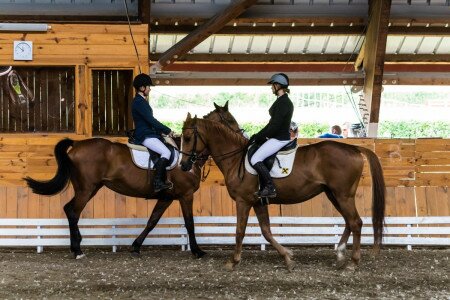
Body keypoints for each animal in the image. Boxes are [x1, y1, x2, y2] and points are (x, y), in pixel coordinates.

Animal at [24, 102, 241, 258]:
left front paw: (136, 246)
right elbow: (189, 223)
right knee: (72, 211)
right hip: (86, 189)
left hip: (91, 188)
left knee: (71, 210)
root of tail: (76, 145)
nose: (241, 136)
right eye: (230, 120)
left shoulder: (167, 197)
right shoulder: (185, 195)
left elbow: (152, 221)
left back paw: (77, 245)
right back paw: (77, 250)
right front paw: (197, 251)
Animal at [181, 114, 384, 270]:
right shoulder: (258, 202)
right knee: (349, 221)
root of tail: (353, 147)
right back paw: (341, 255)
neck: (236, 158)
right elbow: (266, 231)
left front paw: (233, 261)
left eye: (188, 137)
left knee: (356, 222)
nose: (183, 165)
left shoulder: (243, 201)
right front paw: (288, 257)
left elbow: (239, 230)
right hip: (334, 195)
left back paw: (353, 263)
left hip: (343, 195)